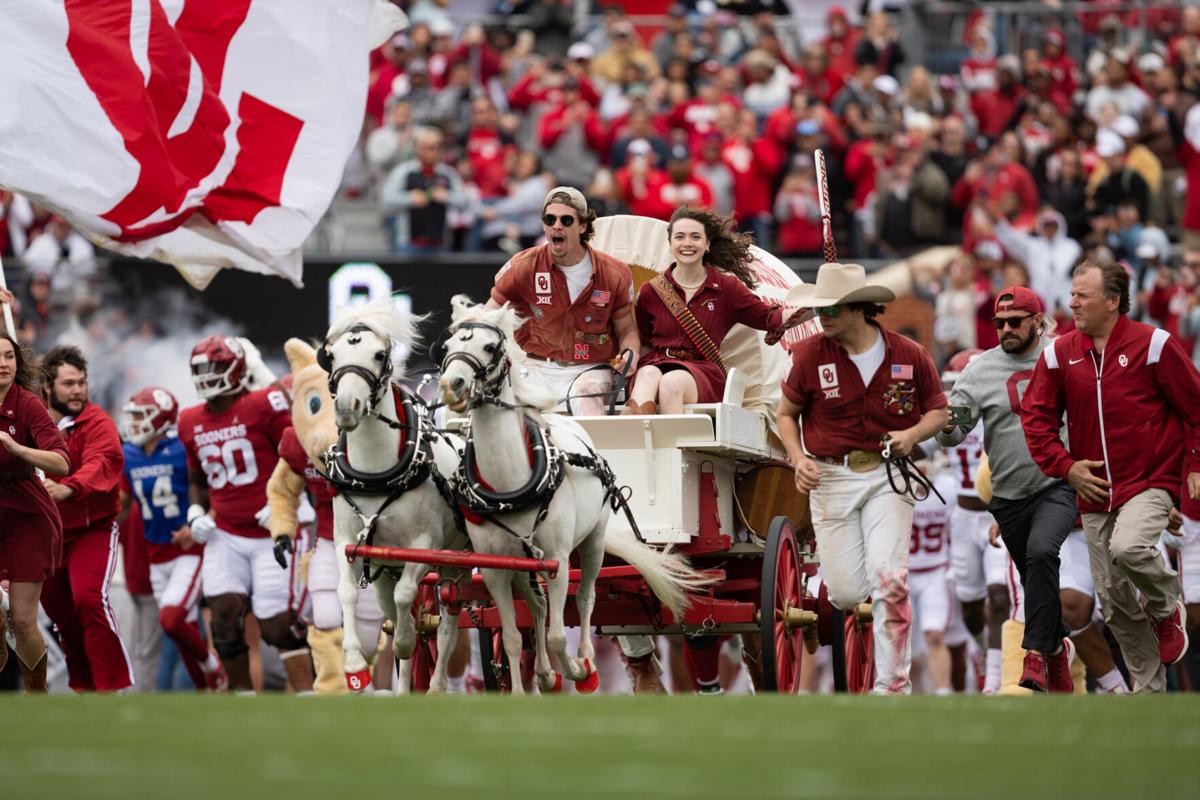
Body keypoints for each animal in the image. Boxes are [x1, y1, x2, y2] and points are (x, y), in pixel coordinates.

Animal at [319, 298, 468, 695]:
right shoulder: (346, 540)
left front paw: (402, 640)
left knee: (449, 621)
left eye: (379, 354)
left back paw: (436, 683)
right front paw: (354, 665)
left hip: (456, 562)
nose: (348, 407)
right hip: (389, 566)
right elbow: (347, 592)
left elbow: (406, 600)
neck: (376, 474)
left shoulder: (423, 544)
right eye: (331, 355)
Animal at [436, 297, 705, 690]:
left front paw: (580, 672)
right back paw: (546, 673)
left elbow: (558, 635)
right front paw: (526, 685)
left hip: (593, 543)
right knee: (537, 608)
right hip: (523, 564)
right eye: (448, 347)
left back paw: (580, 663)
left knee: (585, 596)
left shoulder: (558, 560)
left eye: (489, 347)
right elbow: (512, 635)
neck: (510, 484)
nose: (451, 385)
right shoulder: (495, 567)